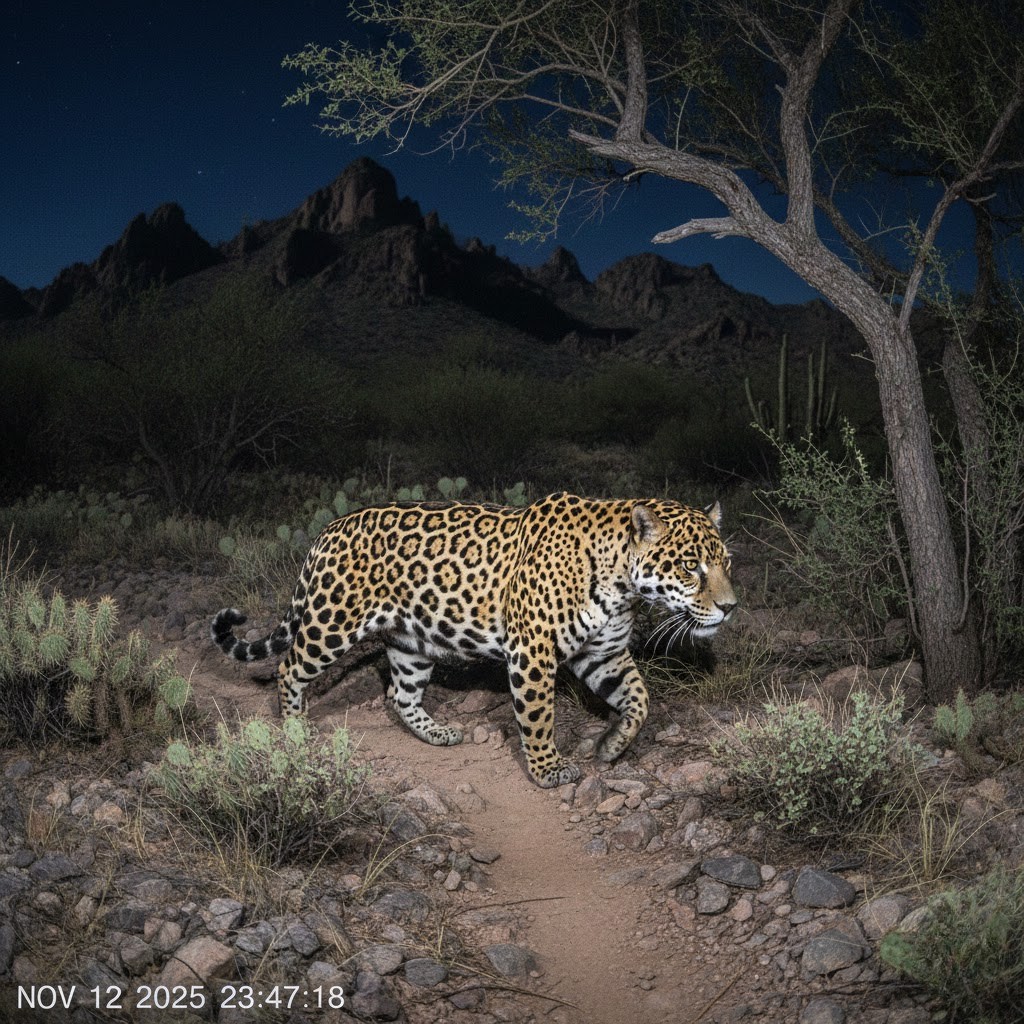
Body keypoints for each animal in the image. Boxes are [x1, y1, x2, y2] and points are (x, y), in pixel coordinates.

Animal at [211, 491, 736, 788]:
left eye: (726, 562)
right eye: (690, 566)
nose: (730, 607)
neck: (620, 580)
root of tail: (327, 529)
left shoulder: (602, 653)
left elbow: (640, 698)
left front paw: (612, 747)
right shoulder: (533, 653)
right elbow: (539, 717)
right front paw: (547, 771)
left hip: (412, 640)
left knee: (398, 693)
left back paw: (437, 734)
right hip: (331, 623)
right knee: (289, 668)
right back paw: (295, 733)